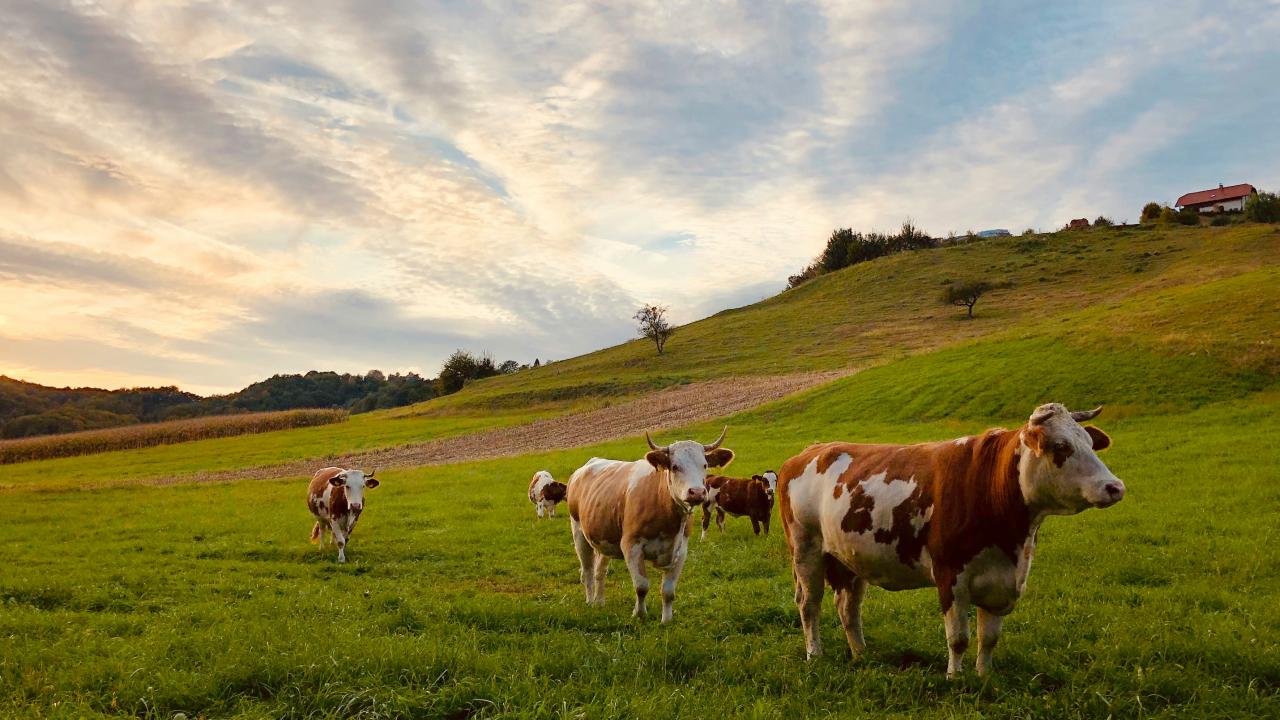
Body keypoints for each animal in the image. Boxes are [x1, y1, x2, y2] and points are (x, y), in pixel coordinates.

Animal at [566, 427, 734, 623]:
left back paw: (599, 602)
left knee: (600, 571)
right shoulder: (631, 545)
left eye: (705, 465)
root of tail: (588, 464)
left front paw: (666, 620)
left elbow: (668, 591)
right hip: (579, 533)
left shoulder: (681, 550)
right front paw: (639, 614)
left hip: (603, 537)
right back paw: (590, 601)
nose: (697, 492)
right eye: (675, 466)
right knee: (587, 571)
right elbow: (641, 586)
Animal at [778, 403, 1124, 677]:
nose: (1115, 487)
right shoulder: (950, 576)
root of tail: (808, 452)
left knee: (848, 608)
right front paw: (955, 679)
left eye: (1090, 442)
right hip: (806, 549)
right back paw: (814, 654)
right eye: (1061, 446)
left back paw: (861, 655)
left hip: (848, 557)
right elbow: (958, 638)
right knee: (809, 604)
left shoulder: (1003, 582)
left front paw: (983, 677)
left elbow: (989, 638)